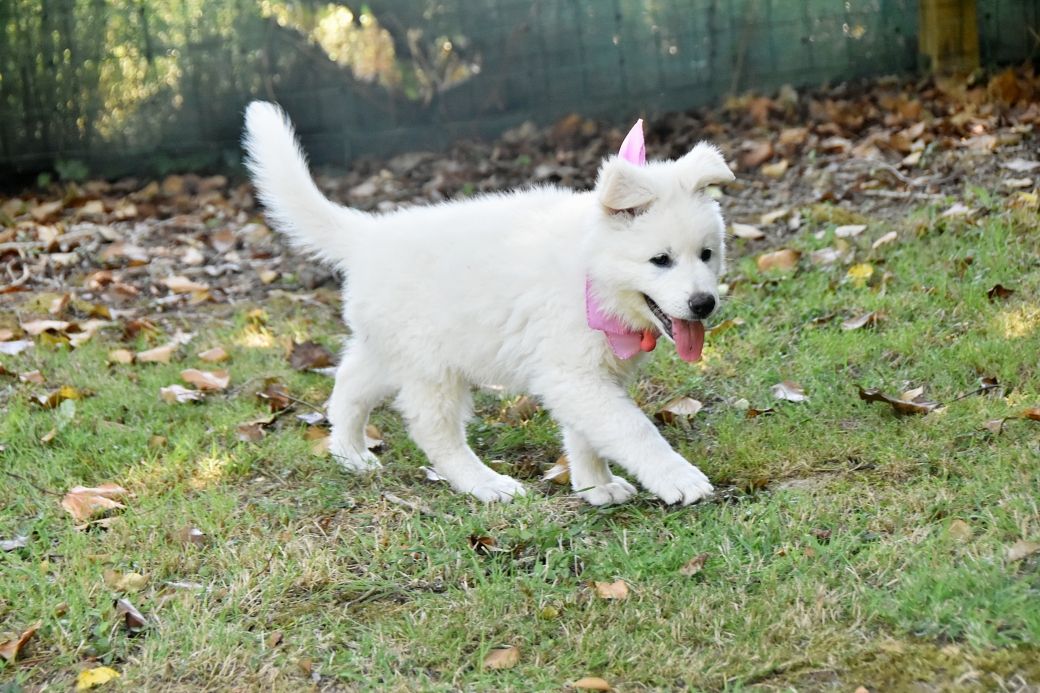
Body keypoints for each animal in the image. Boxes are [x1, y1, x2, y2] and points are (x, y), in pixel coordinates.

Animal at [243, 101, 733, 505]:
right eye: (660, 260)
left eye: (707, 254)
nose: (703, 304)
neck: (590, 275)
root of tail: (367, 236)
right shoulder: (572, 374)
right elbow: (632, 428)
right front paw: (677, 479)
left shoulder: (587, 377)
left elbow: (587, 434)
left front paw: (596, 487)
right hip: (431, 367)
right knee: (435, 434)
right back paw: (485, 484)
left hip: (391, 350)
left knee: (349, 384)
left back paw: (350, 454)